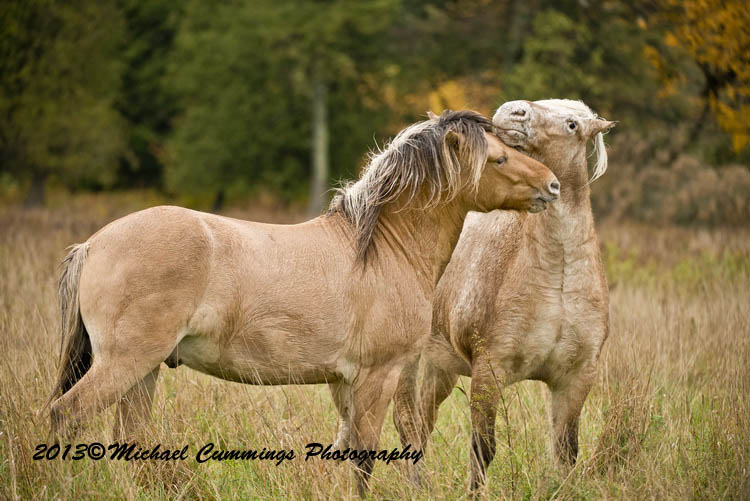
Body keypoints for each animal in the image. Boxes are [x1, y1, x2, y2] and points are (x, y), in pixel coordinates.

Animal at [48, 110, 560, 494]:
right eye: (498, 158)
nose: (553, 186)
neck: (381, 250)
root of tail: (93, 244)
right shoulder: (378, 376)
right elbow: (363, 459)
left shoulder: (350, 382)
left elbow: (363, 446)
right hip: (125, 363)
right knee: (65, 417)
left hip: (145, 370)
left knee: (127, 439)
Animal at [391, 100, 616, 492]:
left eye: (572, 123)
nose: (513, 111)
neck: (558, 279)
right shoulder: (489, 371)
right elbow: (483, 449)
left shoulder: (576, 378)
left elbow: (566, 450)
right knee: (406, 420)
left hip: (440, 367)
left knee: (422, 420)